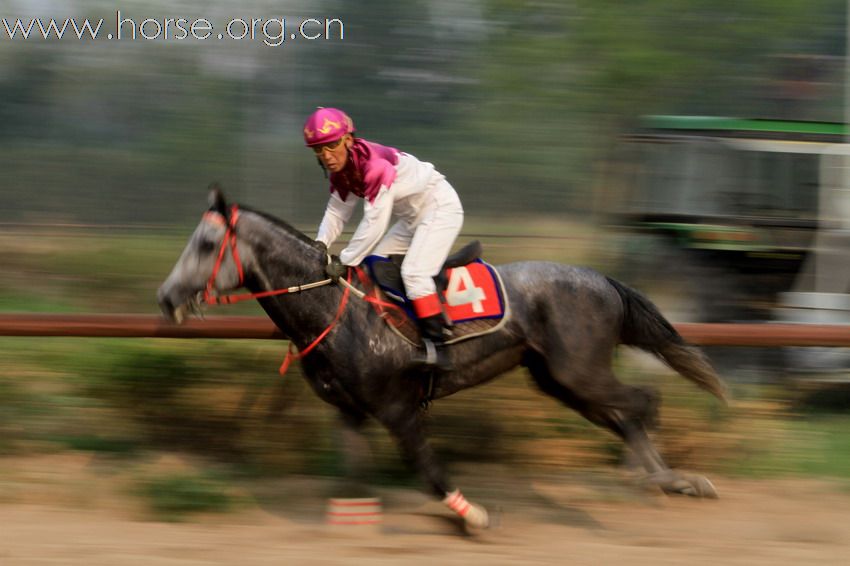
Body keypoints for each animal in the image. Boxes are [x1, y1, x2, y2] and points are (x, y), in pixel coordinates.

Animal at [161, 191, 728, 532]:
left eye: (207, 243)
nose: (166, 299)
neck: (335, 308)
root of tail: (604, 280)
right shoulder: (350, 410)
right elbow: (351, 474)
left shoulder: (396, 407)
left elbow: (428, 468)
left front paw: (473, 514)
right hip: (558, 381)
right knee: (625, 415)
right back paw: (670, 479)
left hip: (580, 371)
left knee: (641, 401)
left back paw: (663, 480)